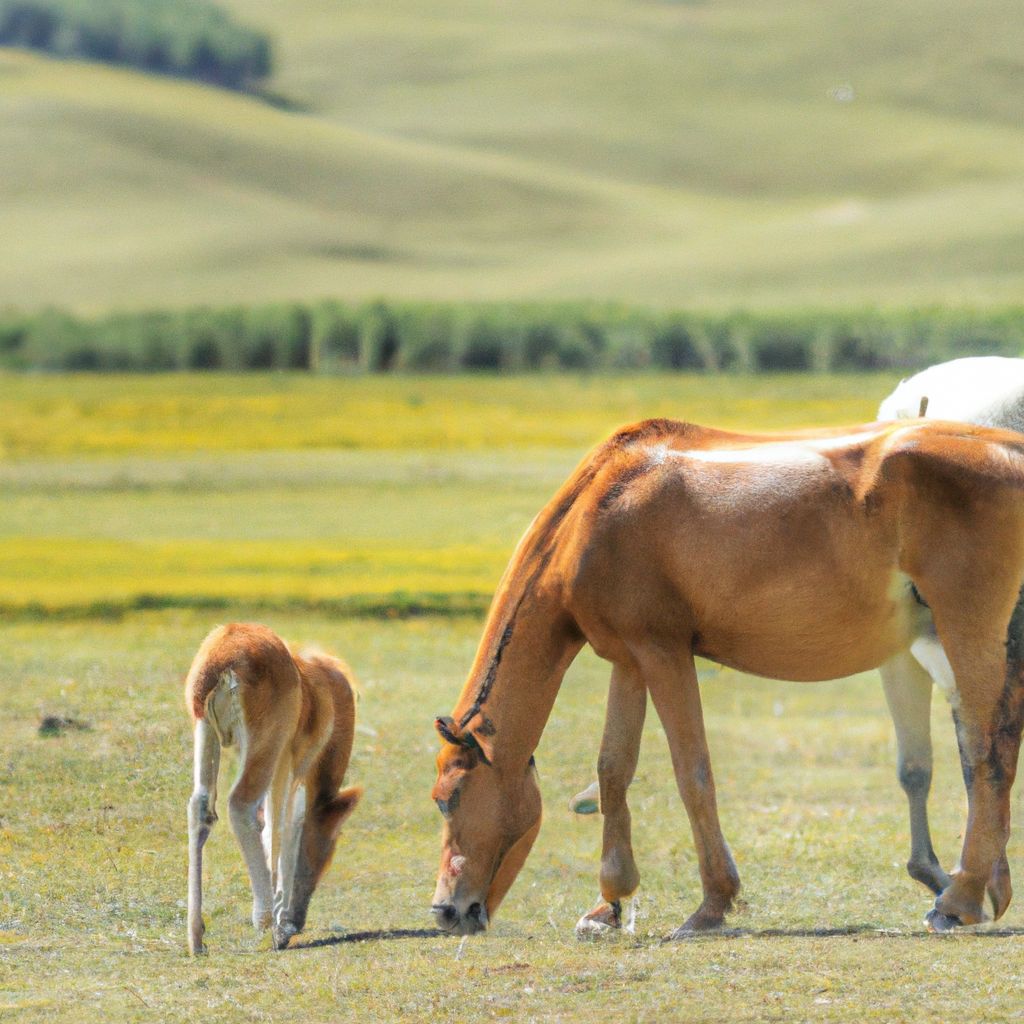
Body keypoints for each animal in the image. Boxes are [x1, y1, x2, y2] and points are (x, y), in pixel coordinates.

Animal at [186, 618, 362, 954]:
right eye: (328, 849)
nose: (299, 920)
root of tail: (222, 656)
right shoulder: (289, 762)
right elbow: (282, 826)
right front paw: (281, 926)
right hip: (267, 745)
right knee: (241, 805)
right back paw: (265, 917)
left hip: (206, 731)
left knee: (200, 806)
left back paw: (196, 937)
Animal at [428, 413, 1024, 937]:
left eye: (447, 798)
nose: (445, 911)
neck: (602, 506)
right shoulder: (629, 660)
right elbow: (614, 769)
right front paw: (608, 904)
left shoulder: (663, 653)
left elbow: (692, 774)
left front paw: (712, 903)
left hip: (966, 629)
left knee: (987, 748)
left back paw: (959, 898)